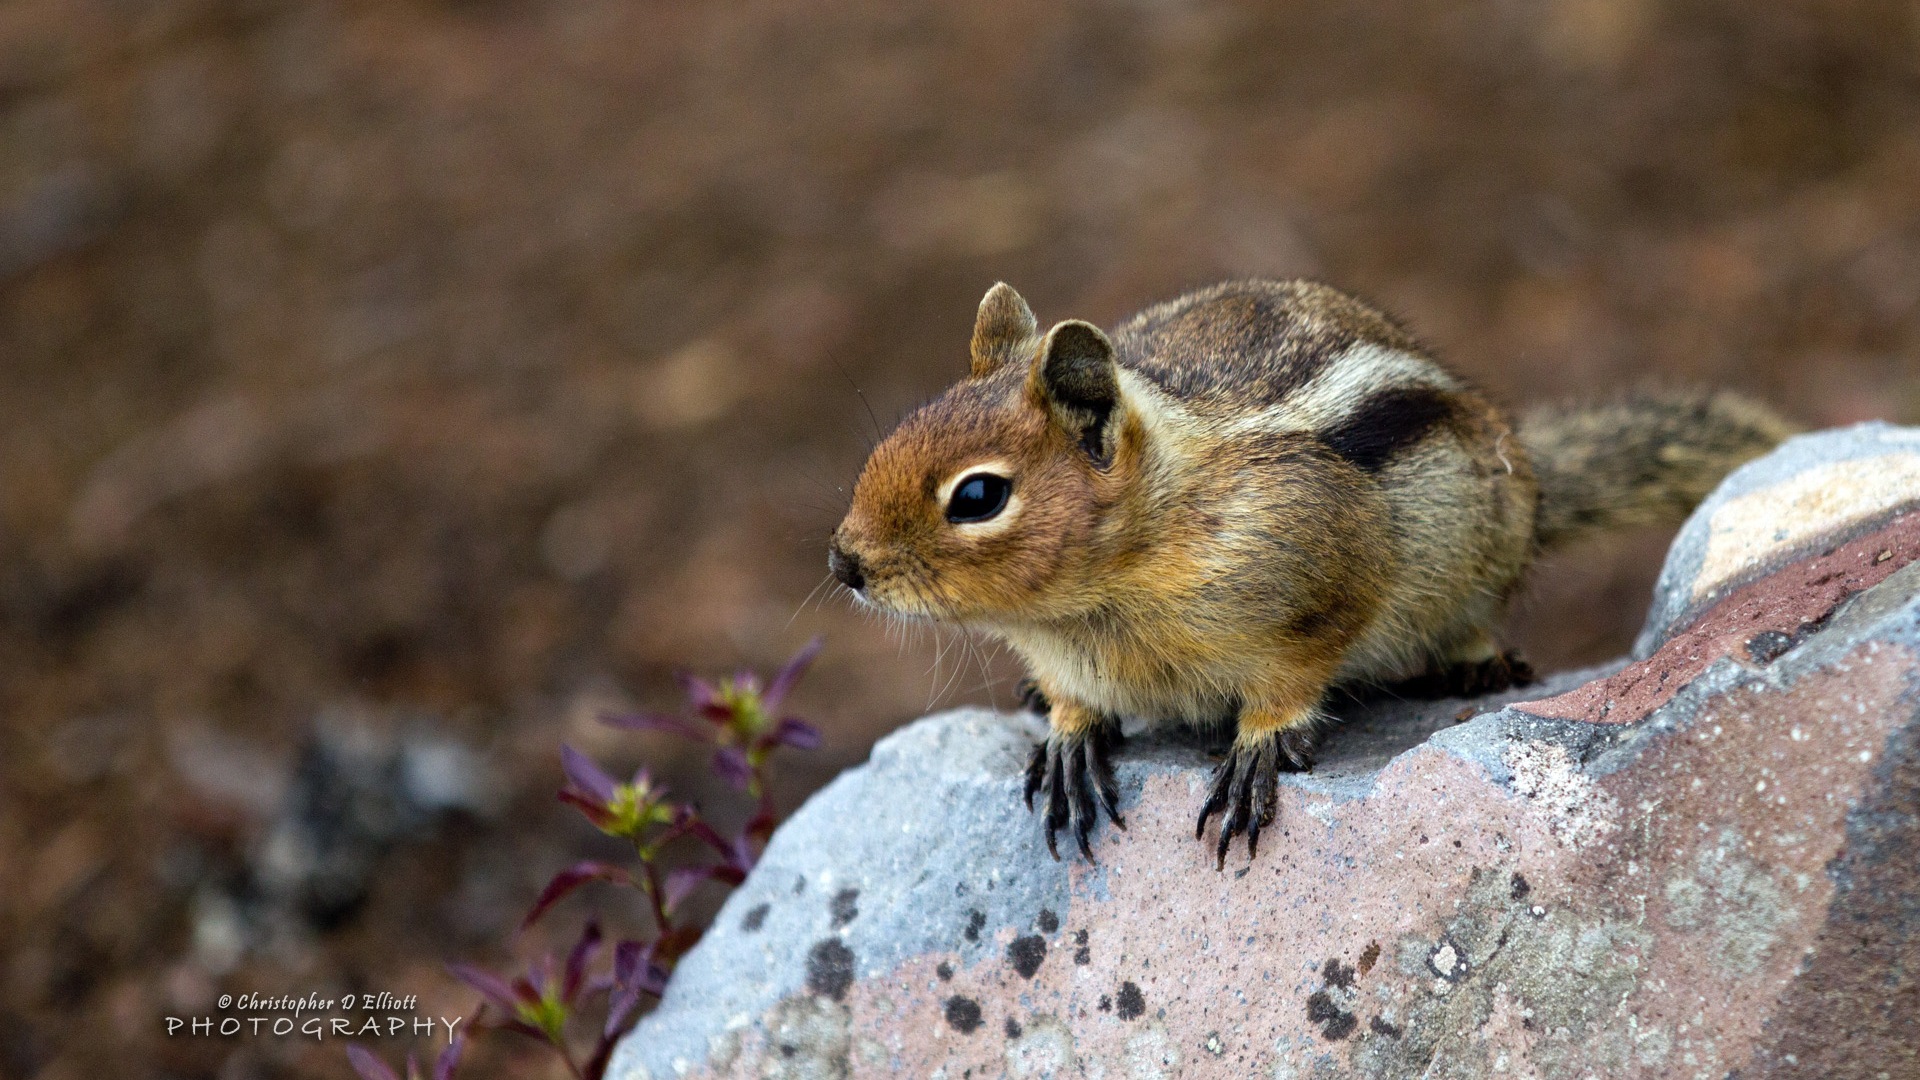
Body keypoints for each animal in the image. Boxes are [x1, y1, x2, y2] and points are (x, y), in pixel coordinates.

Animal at [829, 278, 1797, 864]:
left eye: (978, 496)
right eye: (893, 435)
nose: (843, 563)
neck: (1094, 605)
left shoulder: (1320, 573)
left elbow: (1298, 671)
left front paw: (1258, 746)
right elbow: (1073, 700)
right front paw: (1068, 733)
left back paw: (1473, 661)